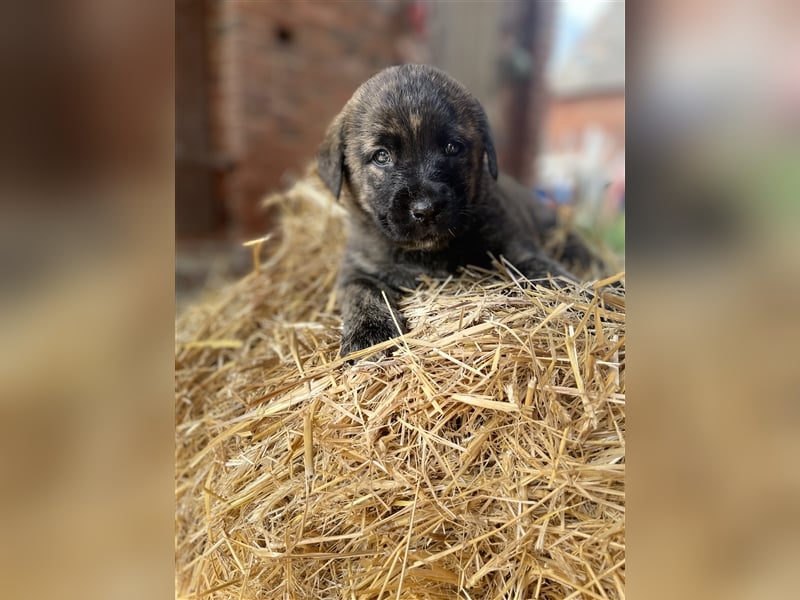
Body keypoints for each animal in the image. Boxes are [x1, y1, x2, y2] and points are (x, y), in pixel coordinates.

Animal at [316, 63, 604, 358]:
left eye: (452, 147)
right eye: (382, 156)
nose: (426, 210)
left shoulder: (514, 246)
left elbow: (547, 271)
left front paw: (585, 296)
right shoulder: (357, 267)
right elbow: (361, 290)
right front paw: (369, 330)